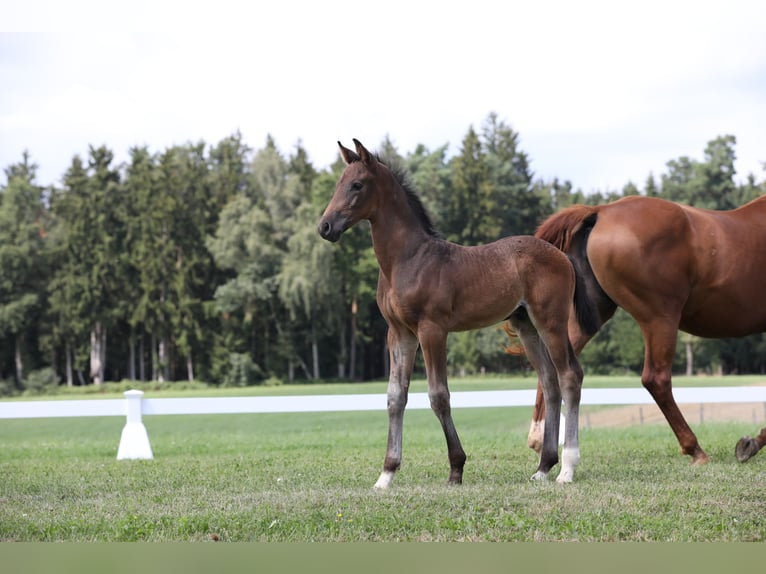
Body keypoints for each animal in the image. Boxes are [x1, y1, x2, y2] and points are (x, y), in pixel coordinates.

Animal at [318, 141, 588, 490]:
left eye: (356, 185)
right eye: (339, 183)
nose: (325, 227)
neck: (408, 260)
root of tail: (563, 257)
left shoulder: (432, 330)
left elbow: (438, 395)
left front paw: (456, 468)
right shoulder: (399, 333)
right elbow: (395, 397)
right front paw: (386, 474)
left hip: (551, 322)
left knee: (569, 376)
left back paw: (567, 469)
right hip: (526, 326)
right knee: (550, 382)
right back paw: (543, 467)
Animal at [532, 196, 766, 466]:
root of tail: (601, 211)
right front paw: (752, 443)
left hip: (591, 317)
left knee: (554, 367)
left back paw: (539, 439)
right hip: (660, 319)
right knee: (657, 379)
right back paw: (694, 448)